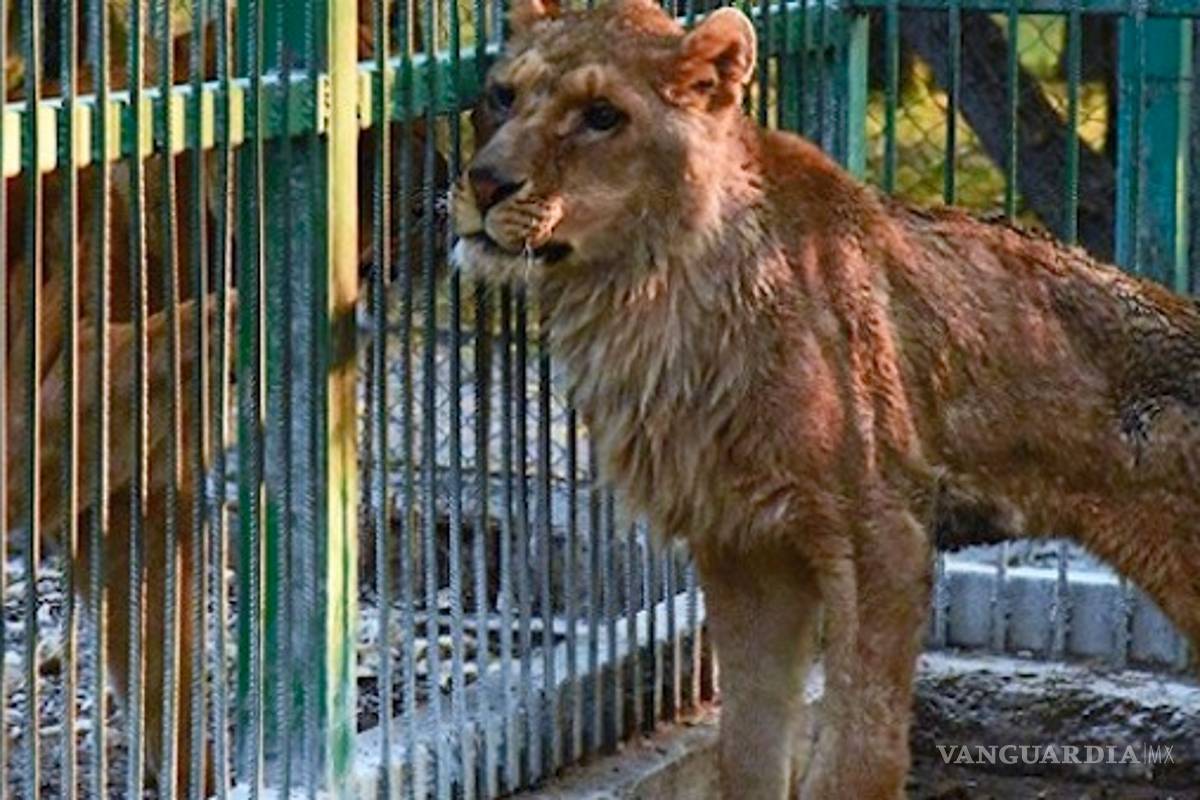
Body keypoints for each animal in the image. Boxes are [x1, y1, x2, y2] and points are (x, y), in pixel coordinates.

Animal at [452, 0, 1200, 797]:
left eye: (601, 116)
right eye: (502, 95)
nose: (485, 182)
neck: (648, 294)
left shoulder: (883, 536)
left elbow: (857, 755)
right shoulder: (744, 545)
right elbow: (749, 745)